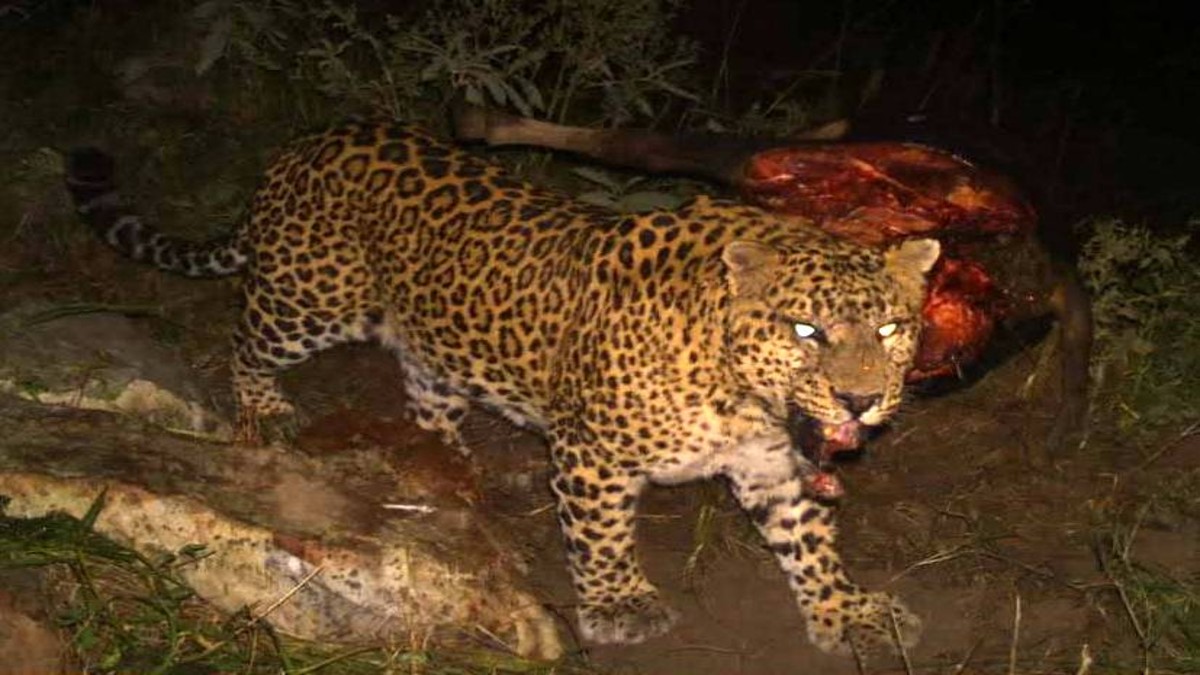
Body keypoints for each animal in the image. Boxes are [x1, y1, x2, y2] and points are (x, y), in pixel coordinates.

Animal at [65, 121, 939, 656]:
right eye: (807, 331)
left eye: (893, 328)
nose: (862, 402)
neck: (742, 393)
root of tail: (307, 141)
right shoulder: (593, 453)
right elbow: (603, 536)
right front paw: (620, 605)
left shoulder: (770, 463)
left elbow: (808, 541)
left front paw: (846, 611)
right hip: (310, 300)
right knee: (245, 336)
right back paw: (268, 409)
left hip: (432, 343)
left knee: (424, 392)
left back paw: (451, 469)